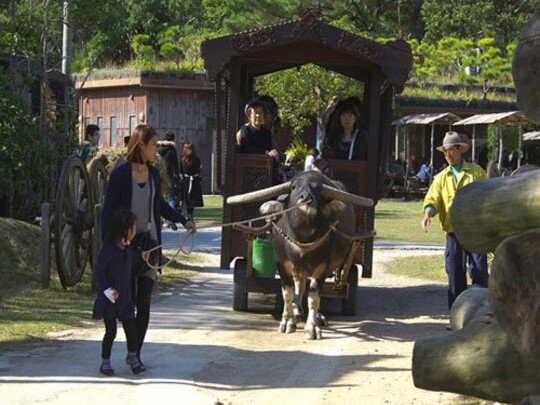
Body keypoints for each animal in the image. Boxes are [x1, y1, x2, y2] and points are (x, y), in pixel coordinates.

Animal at [226, 169, 374, 340]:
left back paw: (317, 316)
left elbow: (314, 298)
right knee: (299, 284)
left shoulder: (322, 268)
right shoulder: (282, 264)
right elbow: (287, 294)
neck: (303, 237)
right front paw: (287, 322)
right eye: (294, 187)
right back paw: (297, 310)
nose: (306, 197)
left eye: (318, 189)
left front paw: (312, 327)